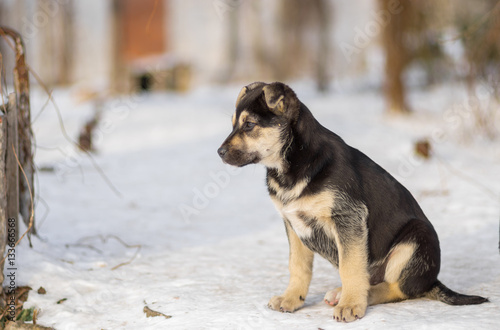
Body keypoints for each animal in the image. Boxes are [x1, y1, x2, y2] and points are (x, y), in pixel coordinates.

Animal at [216, 82, 488, 322]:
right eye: (233, 125)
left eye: (249, 125)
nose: (219, 153)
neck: (293, 162)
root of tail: (431, 279)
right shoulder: (292, 223)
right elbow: (298, 266)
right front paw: (292, 299)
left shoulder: (348, 218)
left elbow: (350, 267)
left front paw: (351, 305)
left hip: (417, 238)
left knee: (399, 287)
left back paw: (359, 296)